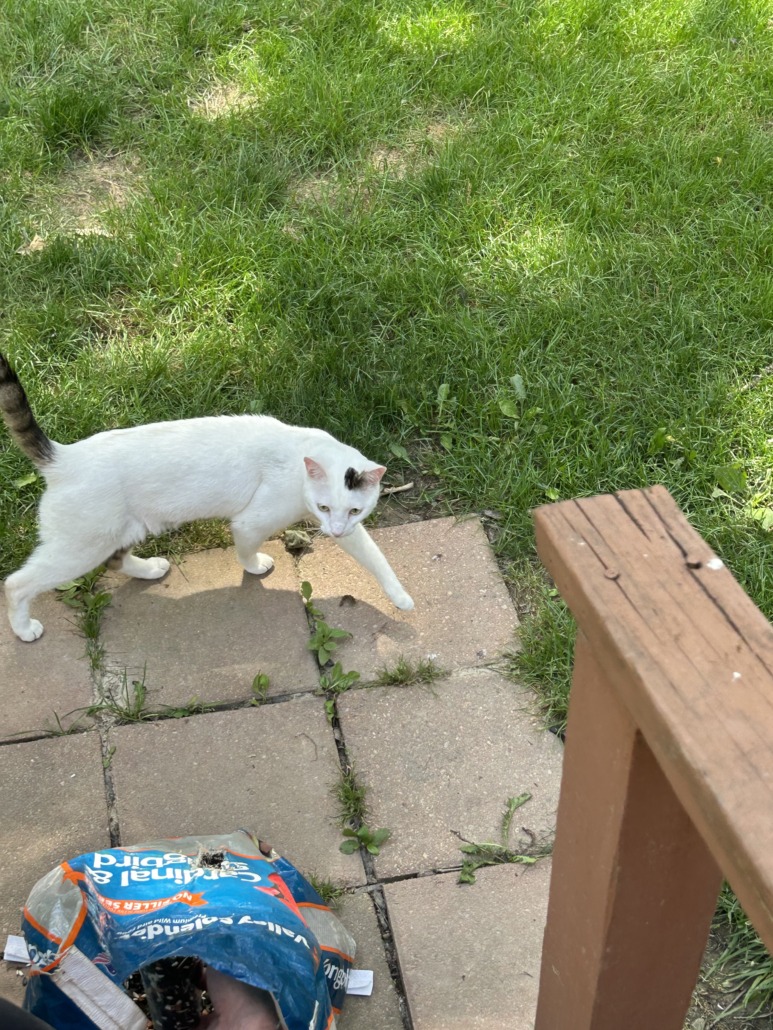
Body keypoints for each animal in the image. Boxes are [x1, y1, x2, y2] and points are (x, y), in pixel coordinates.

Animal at [0, 352, 414, 642]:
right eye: (324, 506)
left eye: (355, 510)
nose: (336, 530)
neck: (301, 456)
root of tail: (64, 456)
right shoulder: (250, 523)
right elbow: (246, 551)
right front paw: (255, 567)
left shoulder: (350, 530)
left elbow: (376, 559)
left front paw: (399, 597)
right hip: (78, 550)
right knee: (16, 584)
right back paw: (24, 628)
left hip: (120, 533)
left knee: (116, 561)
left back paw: (150, 569)